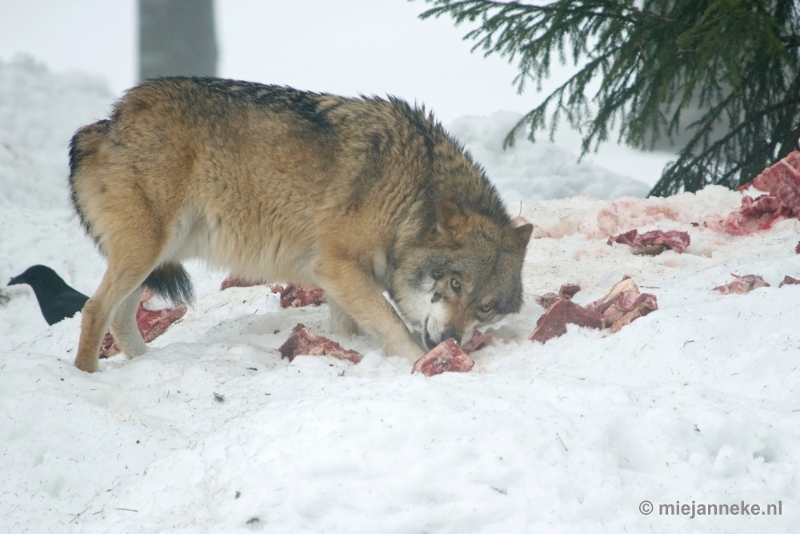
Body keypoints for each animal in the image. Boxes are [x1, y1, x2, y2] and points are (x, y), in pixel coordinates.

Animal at [69, 77, 532, 374]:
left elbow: (350, 325)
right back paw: (85, 378)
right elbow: (393, 323)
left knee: (119, 317)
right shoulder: (339, 267)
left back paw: (149, 365)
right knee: (94, 310)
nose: (452, 339)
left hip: (153, 259)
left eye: (485, 307)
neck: (410, 196)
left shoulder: (341, 281)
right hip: (145, 251)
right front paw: (416, 362)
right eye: (455, 284)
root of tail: (107, 123)